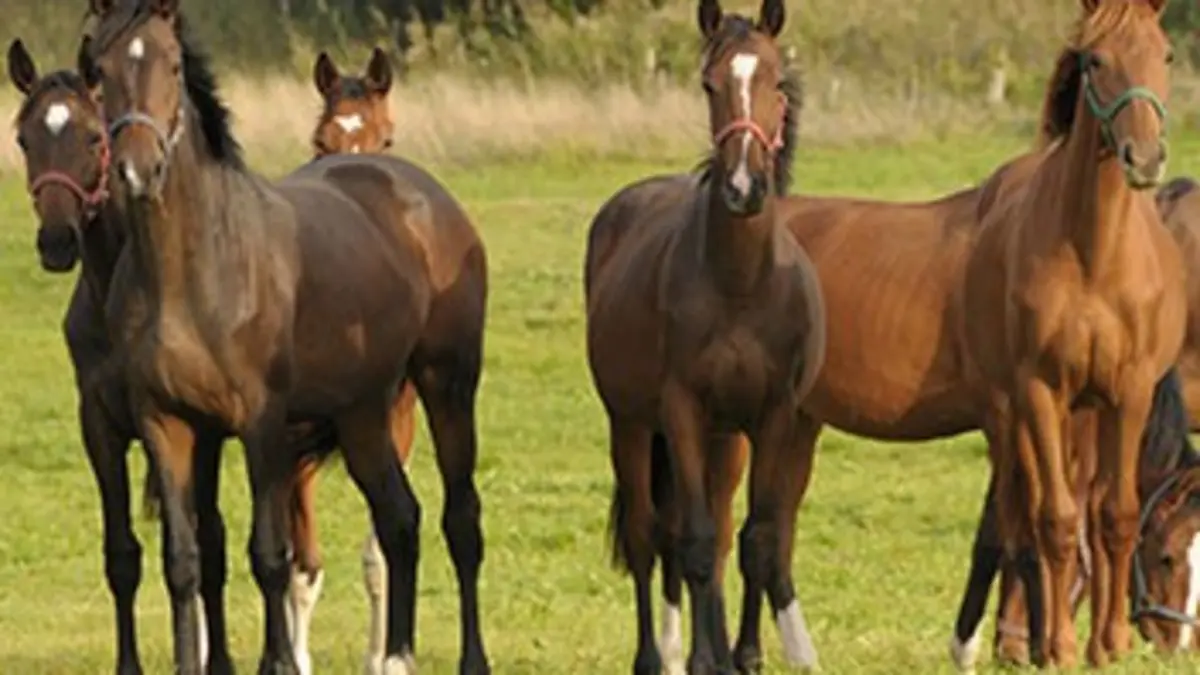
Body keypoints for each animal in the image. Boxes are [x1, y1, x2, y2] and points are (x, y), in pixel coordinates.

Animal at [6, 37, 236, 675]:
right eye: (23, 138)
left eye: (92, 136)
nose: (57, 241)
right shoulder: (99, 428)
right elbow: (122, 555)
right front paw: (127, 664)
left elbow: (194, 546)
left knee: (213, 539)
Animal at [83, 1, 490, 673]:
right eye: (98, 67)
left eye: (172, 64)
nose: (136, 169)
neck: (194, 272)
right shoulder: (169, 424)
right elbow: (185, 561)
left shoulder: (263, 425)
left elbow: (270, 555)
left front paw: (277, 660)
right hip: (363, 415)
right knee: (399, 519)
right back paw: (396, 657)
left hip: (445, 388)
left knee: (460, 521)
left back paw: (468, 658)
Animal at [584, 0, 826, 672]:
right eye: (709, 84)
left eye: (776, 81)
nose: (743, 188)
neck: (739, 284)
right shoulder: (683, 412)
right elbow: (688, 542)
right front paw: (702, 658)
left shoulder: (772, 417)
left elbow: (754, 539)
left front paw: (741, 655)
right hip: (632, 425)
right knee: (649, 533)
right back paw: (654, 655)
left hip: (727, 440)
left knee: (715, 533)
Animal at [960, 0, 1185, 667]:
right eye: (1095, 60)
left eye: (1165, 53)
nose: (1144, 157)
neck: (1095, 253)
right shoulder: (1040, 392)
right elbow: (1055, 519)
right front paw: (1057, 645)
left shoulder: (1130, 393)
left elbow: (1117, 514)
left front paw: (1109, 644)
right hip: (1022, 414)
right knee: (1025, 511)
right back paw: (1027, 640)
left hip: (1092, 411)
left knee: (1093, 504)